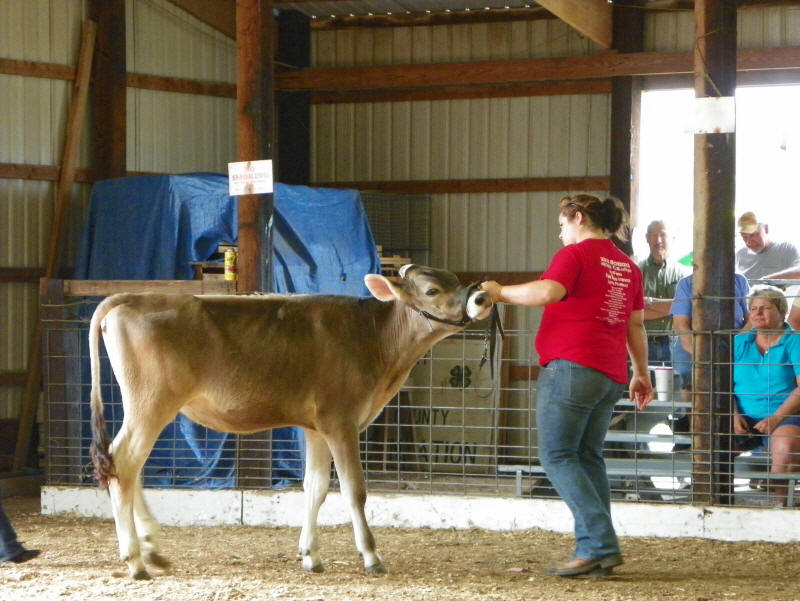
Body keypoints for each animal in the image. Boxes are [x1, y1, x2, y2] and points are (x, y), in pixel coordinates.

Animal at [88, 264, 493, 580]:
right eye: (432, 289)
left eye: (454, 278)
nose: (481, 297)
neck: (376, 340)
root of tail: (131, 297)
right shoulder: (340, 421)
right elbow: (354, 491)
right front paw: (372, 556)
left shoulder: (315, 428)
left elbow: (315, 488)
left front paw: (311, 556)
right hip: (150, 403)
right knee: (123, 463)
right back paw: (135, 560)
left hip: (152, 408)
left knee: (129, 468)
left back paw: (152, 549)